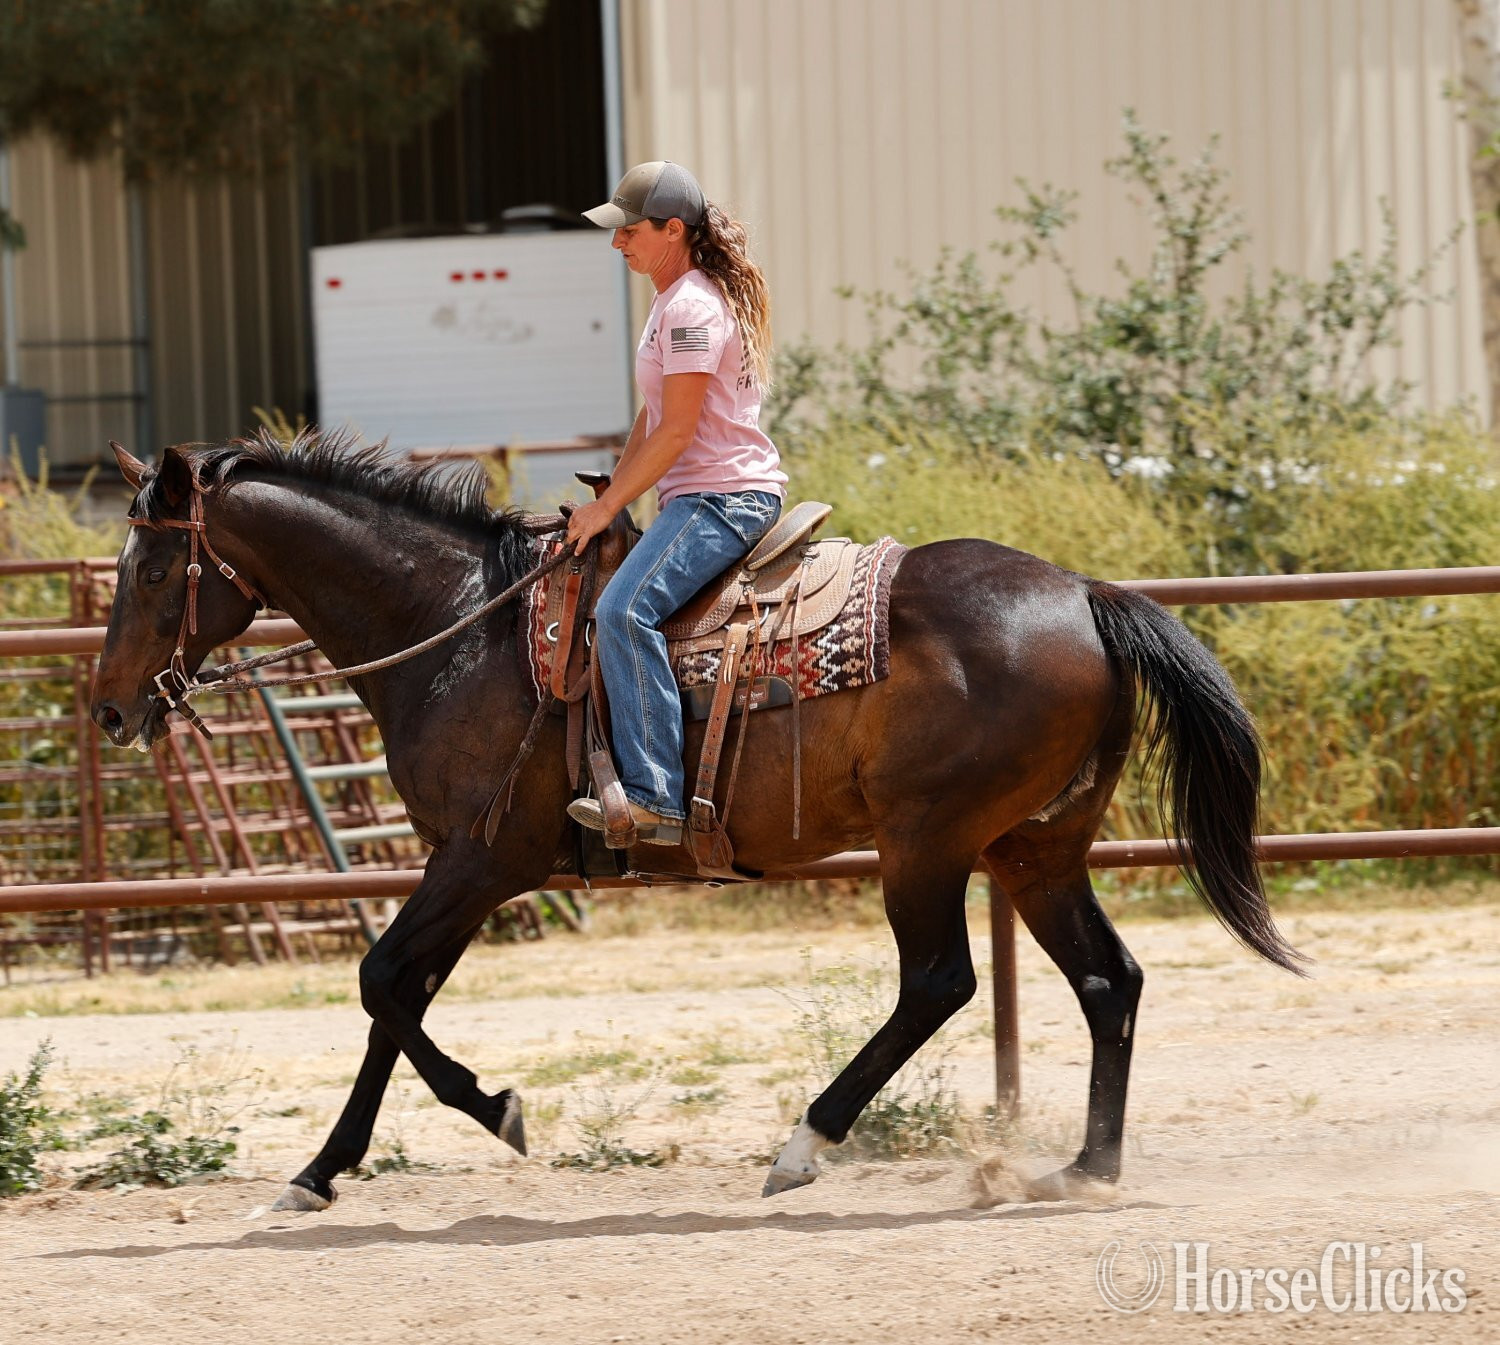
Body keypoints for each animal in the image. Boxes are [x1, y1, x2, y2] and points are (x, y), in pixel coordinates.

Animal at [90, 430, 1304, 1211]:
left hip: (929, 841)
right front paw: (325, 1167)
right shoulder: (463, 868)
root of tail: (1087, 595)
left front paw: (494, 1112)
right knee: (1108, 980)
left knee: (939, 983)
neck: (462, 629)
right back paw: (1084, 1170)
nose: (106, 707)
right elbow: (397, 998)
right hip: (1034, 846)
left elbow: (382, 982)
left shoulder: (484, 858)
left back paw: (803, 1145)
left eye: (149, 566)